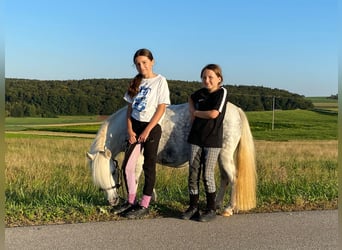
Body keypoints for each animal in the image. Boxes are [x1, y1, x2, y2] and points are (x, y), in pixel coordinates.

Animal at [87, 102, 255, 216]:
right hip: (219, 156)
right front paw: (152, 199)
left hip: (225, 155)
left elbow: (135, 178)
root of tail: (236, 110)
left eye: (113, 172)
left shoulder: (139, 159)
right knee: (225, 178)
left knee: (233, 178)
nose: (112, 201)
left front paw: (135, 204)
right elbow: (148, 176)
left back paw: (229, 208)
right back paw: (218, 204)